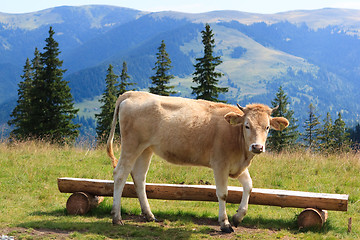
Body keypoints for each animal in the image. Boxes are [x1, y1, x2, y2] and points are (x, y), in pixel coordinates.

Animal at [105, 91, 288, 232]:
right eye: (247, 125)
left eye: (267, 127)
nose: (257, 147)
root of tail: (133, 93)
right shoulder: (220, 164)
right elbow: (223, 193)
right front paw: (225, 223)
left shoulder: (237, 166)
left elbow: (249, 186)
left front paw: (238, 217)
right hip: (131, 145)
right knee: (120, 174)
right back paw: (116, 217)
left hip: (146, 149)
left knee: (139, 177)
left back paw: (149, 215)